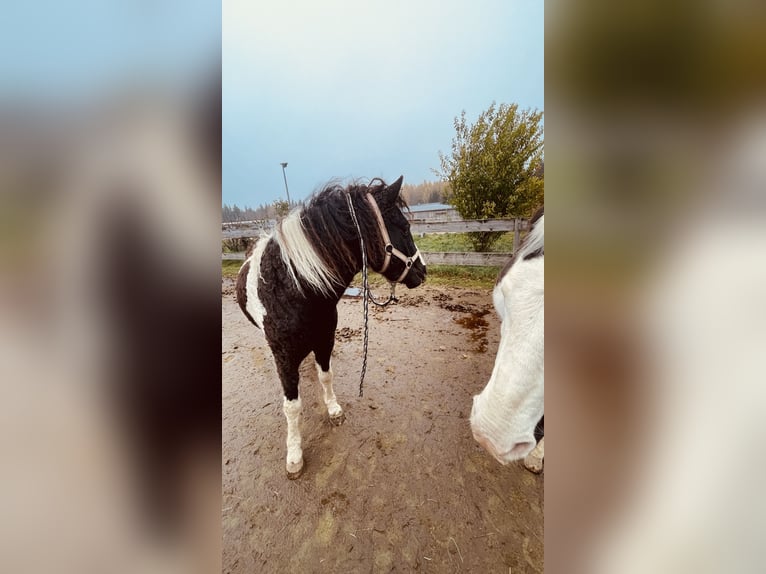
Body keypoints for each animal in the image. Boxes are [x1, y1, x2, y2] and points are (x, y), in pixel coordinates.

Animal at [236, 177, 426, 482]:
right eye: (405, 227)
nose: (423, 270)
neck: (295, 288)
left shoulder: (325, 341)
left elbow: (326, 376)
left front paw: (333, 408)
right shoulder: (285, 358)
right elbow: (291, 406)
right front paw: (294, 455)